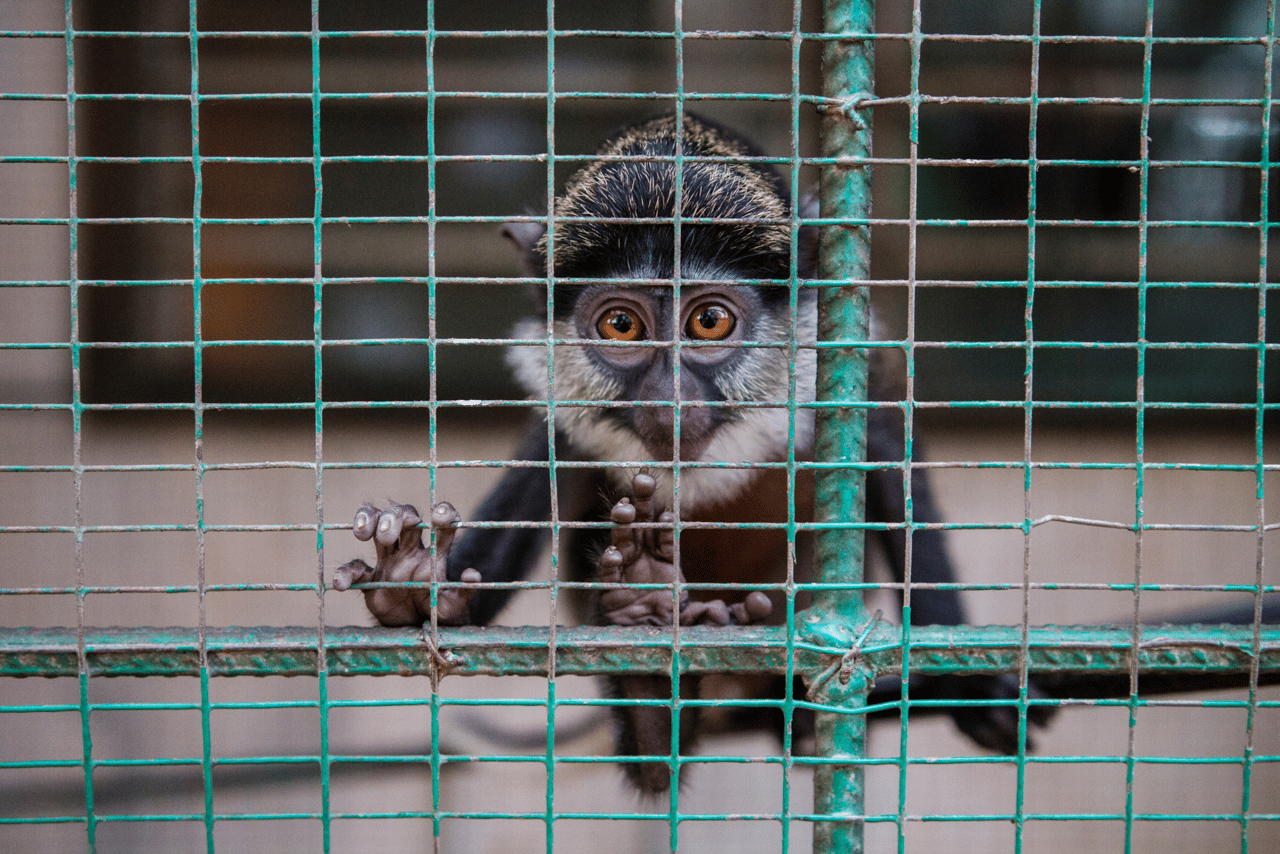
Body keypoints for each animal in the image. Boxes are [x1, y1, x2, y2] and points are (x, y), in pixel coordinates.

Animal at [335, 112, 1054, 793]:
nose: (671, 396)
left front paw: (970, 683)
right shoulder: (568, 419)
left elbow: (887, 462)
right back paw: (649, 661)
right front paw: (417, 586)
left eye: (709, 321)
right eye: (621, 325)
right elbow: (539, 476)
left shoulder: (845, 380)